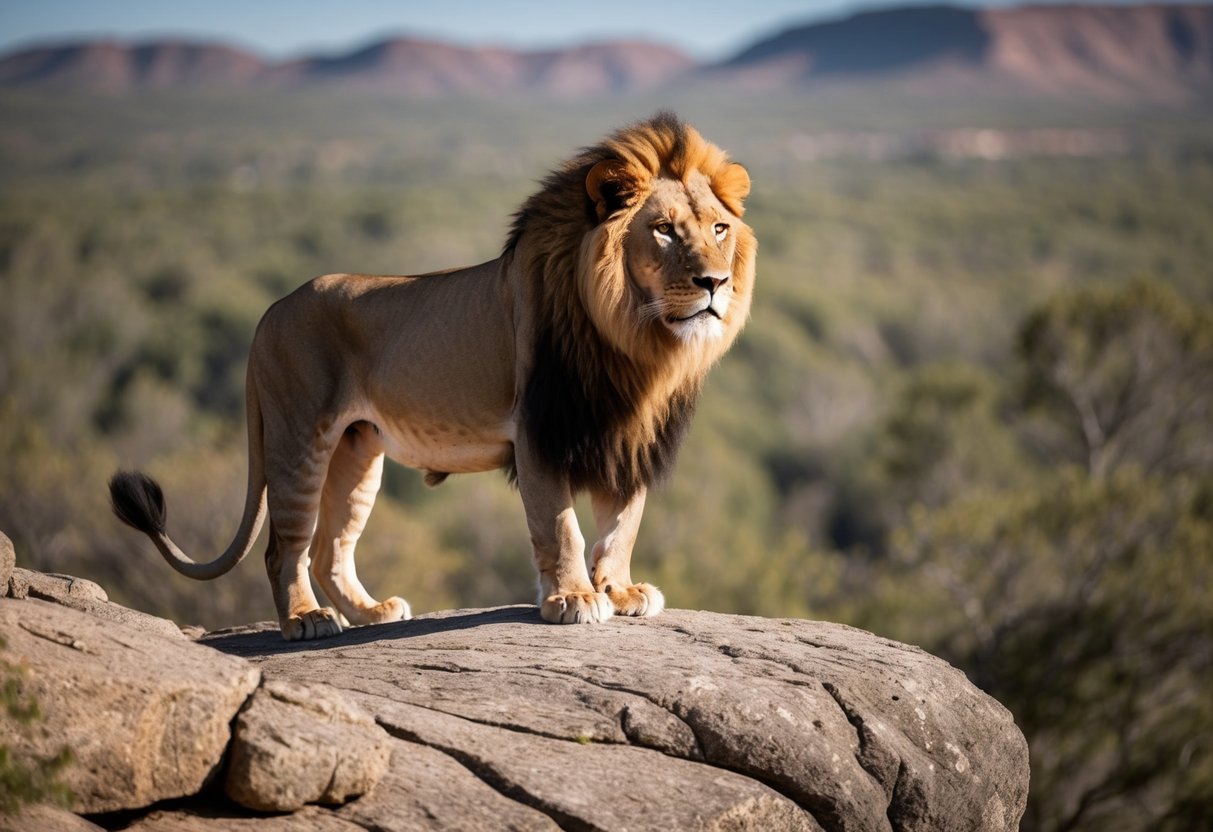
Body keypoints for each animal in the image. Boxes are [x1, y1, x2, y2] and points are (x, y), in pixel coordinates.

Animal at [109, 112, 756, 641]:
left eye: (718, 230)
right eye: (665, 230)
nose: (715, 283)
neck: (635, 340)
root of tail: (270, 311)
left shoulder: (625, 434)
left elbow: (622, 523)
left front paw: (619, 590)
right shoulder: (541, 430)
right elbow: (560, 525)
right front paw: (573, 599)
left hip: (356, 449)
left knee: (329, 550)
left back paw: (372, 612)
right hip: (298, 436)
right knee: (283, 548)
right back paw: (305, 619)